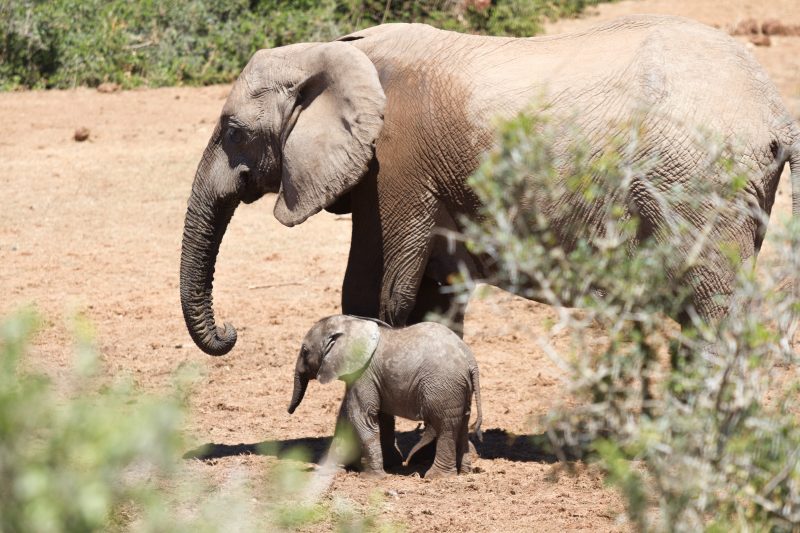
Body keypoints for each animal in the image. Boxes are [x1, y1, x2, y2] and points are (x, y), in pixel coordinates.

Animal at [181, 13, 800, 354]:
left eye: (233, 132)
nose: (231, 331)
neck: (336, 51)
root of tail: (775, 111)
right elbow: (423, 293)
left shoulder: (399, 163)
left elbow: (383, 291)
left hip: (697, 187)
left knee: (712, 310)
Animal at [288, 314, 482, 476]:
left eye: (305, 351)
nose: (289, 411)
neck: (352, 323)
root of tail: (471, 362)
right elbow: (346, 416)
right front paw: (332, 471)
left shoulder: (364, 373)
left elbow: (361, 416)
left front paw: (373, 477)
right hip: (459, 389)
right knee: (462, 422)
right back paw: (464, 472)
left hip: (443, 387)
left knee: (445, 426)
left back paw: (436, 476)